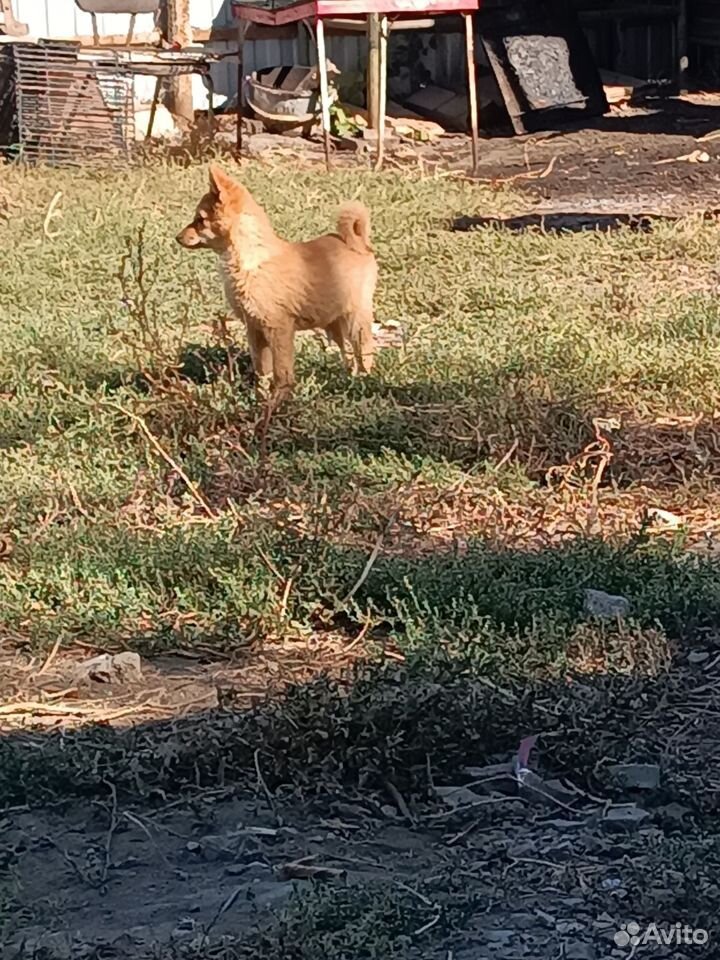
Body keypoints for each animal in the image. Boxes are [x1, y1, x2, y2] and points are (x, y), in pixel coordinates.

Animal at [176, 165, 376, 398]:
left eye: (200, 220)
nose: (177, 238)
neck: (249, 262)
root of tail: (360, 244)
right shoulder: (255, 331)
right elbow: (262, 370)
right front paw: (261, 397)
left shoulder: (278, 329)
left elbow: (282, 372)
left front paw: (279, 399)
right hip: (335, 323)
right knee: (349, 356)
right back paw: (348, 380)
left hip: (356, 320)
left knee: (365, 352)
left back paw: (364, 380)